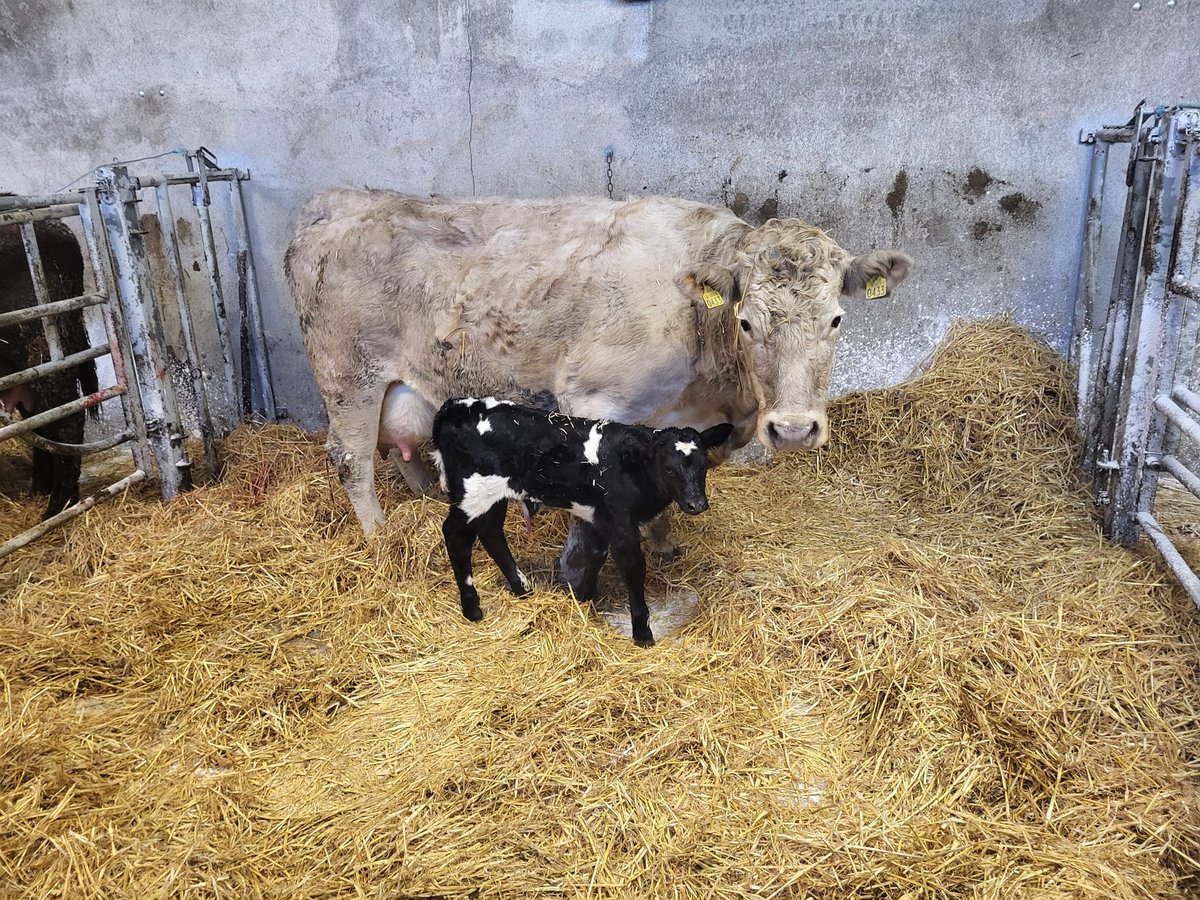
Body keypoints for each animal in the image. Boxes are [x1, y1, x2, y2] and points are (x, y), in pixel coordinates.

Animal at [284, 190, 912, 596]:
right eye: (747, 321)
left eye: (836, 320)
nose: (795, 430)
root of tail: (335, 200)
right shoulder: (592, 399)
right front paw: (577, 581)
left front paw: (664, 544)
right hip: (350, 377)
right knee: (351, 459)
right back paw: (379, 538)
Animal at [432, 397, 733, 647]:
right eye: (669, 468)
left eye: (703, 465)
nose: (697, 504)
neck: (632, 465)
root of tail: (454, 408)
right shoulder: (621, 522)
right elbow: (633, 569)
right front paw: (642, 632)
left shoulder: (600, 518)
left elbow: (595, 554)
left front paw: (583, 596)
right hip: (471, 493)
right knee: (456, 536)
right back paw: (472, 608)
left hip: (495, 494)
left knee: (491, 531)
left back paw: (522, 589)